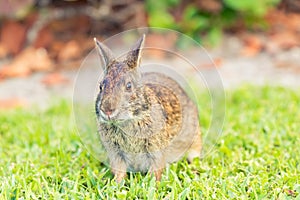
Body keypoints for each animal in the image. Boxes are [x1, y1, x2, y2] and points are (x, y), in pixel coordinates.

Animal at [94, 34, 202, 183]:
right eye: (101, 87)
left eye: (129, 86)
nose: (107, 110)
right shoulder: (116, 153)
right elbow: (120, 172)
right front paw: (116, 185)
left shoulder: (155, 150)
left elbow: (155, 171)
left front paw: (152, 185)